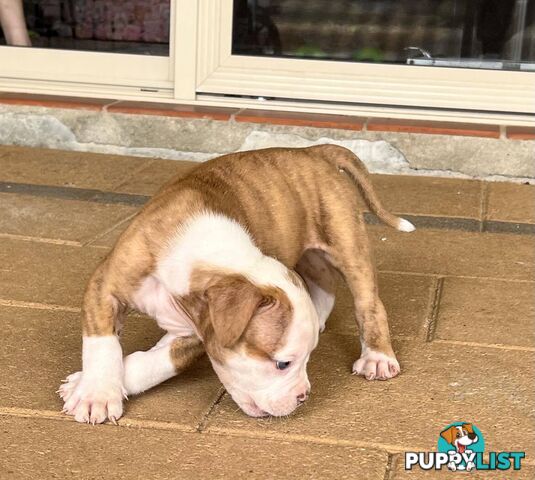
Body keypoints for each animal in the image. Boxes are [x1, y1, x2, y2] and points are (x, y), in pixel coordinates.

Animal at [60, 143, 416, 424]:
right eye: (282, 363)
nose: (303, 396)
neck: (206, 249)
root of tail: (313, 151)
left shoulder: (196, 334)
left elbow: (154, 363)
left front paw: (91, 388)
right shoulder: (104, 287)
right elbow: (102, 345)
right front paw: (96, 390)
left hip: (347, 243)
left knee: (368, 304)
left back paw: (378, 357)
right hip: (311, 252)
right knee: (323, 283)